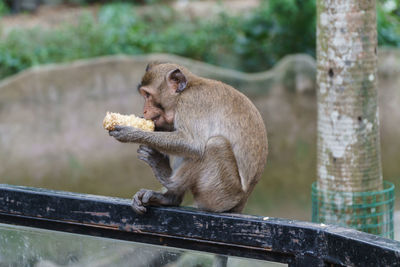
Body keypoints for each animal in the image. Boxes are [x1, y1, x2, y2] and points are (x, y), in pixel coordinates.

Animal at [108, 62, 268, 216]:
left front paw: (131, 132)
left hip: (223, 195)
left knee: (215, 144)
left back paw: (168, 178)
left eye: (148, 95)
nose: (144, 110)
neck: (187, 89)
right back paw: (170, 198)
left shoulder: (190, 103)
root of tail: (241, 202)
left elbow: (192, 144)